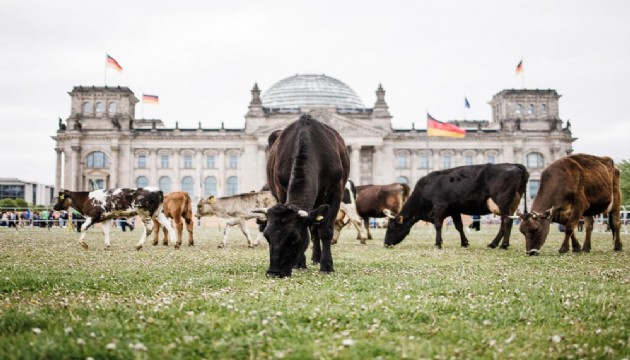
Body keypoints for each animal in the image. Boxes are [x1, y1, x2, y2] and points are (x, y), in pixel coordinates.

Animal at [254, 114, 354, 278]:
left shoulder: (336, 193)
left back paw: (318, 258)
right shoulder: (281, 191)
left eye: (294, 238)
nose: (274, 273)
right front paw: (300, 263)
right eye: (267, 236)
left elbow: (326, 230)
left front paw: (327, 265)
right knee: (313, 229)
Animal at [386, 164, 528, 250]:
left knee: (507, 221)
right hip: (512, 204)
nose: (385, 243)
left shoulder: (439, 206)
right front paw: (464, 243)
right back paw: (494, 244)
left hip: (502, 201)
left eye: (392, 227)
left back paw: (503, 245)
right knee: (505, 222)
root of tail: (514, 165)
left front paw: (438, 244)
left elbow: (438, 225)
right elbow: (459, 226)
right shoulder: (454, 210)